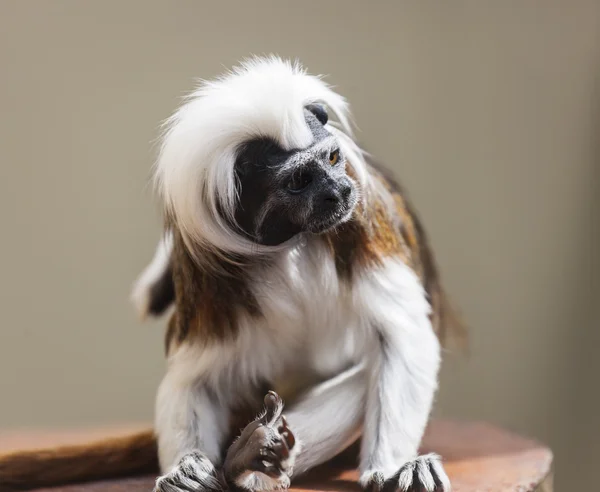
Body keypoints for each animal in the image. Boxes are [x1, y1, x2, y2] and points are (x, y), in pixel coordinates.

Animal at [0, 56, 464, 492]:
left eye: (332, 159)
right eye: (299, 180)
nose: (339, 191)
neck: (293, 241)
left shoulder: (362, 221)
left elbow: (401, 338)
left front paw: (392, 467)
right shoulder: (207, 272)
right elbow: (195, 379)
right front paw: (185, 468)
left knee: (366, 372)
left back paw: (252, 454)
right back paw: (246, 456)